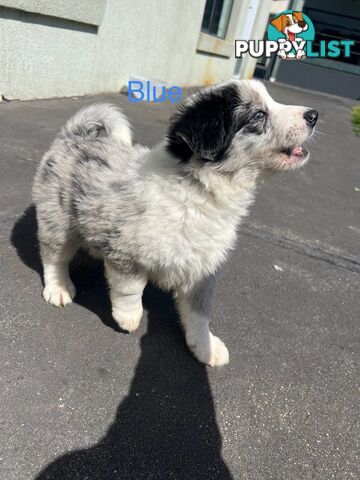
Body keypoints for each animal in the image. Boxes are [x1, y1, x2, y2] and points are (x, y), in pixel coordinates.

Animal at [33, 80, 318, 366]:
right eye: (259, 115)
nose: (314, 115)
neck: (199, 189)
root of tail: (74, 134)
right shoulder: (125, 251)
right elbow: (130, 288)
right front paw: (129, 317)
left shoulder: (203, 270)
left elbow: (199, 314)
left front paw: (206, 347)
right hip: (55, 219)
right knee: (54, 257)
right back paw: (59, 289)